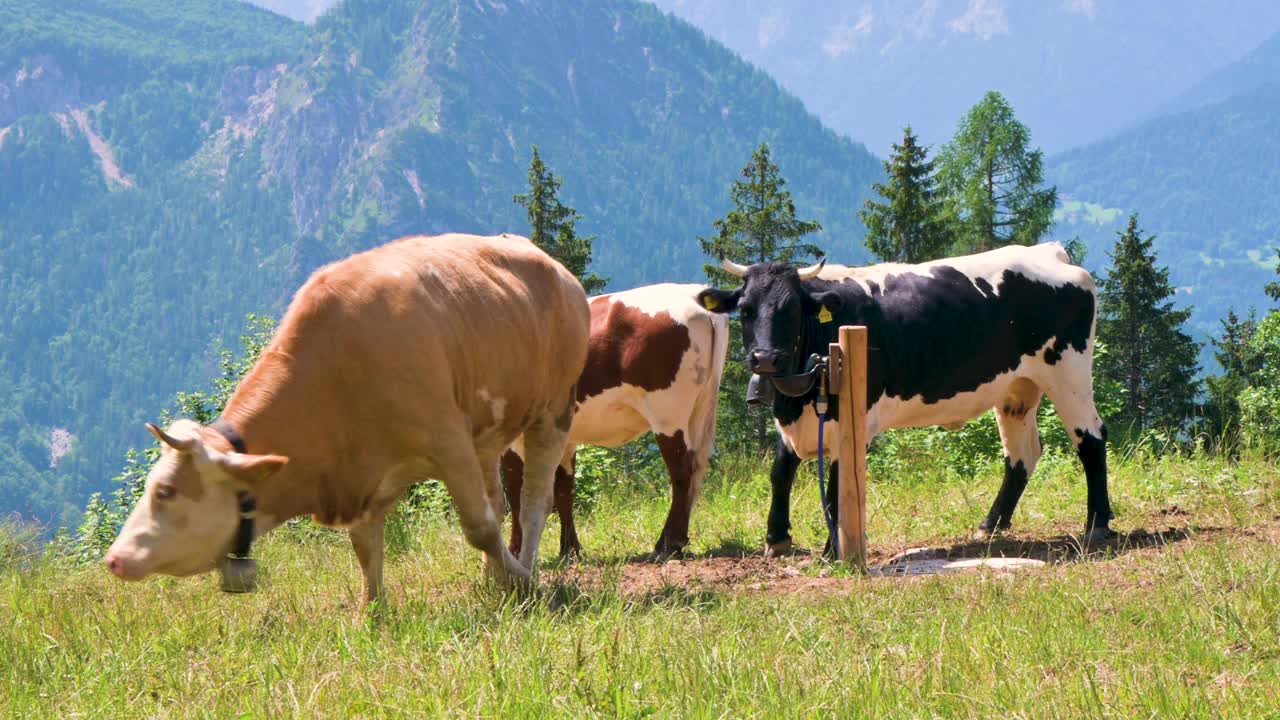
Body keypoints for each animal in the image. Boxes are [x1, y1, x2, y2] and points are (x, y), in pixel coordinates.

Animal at [102, 234, 591, 599]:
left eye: (166, 491)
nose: (114, 558)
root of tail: (554, 266)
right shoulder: (363, 473)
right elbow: (365, 548)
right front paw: (371, 615)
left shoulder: (447, 442)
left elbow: (480, 528)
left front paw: (526, 582)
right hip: (487, 433)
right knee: (499, 499)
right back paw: (493, 579)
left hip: (552, 411)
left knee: (534, 502)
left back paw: (523, 569)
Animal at [499, 283, 727, 558]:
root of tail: (693, 293)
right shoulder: (566, 438)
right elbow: (564, 489)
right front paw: (569, 550)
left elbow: (516, 491)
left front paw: (514, 550)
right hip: (698, 411)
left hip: (668, 413)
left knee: (682, 472)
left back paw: (667, 544)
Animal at [696, 240, 1116, 548]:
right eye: (746, 310)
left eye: (792, 310)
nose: (765, 358)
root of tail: (1046, 251)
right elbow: (781, 471)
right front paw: (777, 537)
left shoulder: (851, 415)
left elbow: (837, 486)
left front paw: (834, 549)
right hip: (1017, 388)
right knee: (1022, 454)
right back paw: (991, 525)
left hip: (1069, 370)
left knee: (1091, 438)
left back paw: (1097, 524)